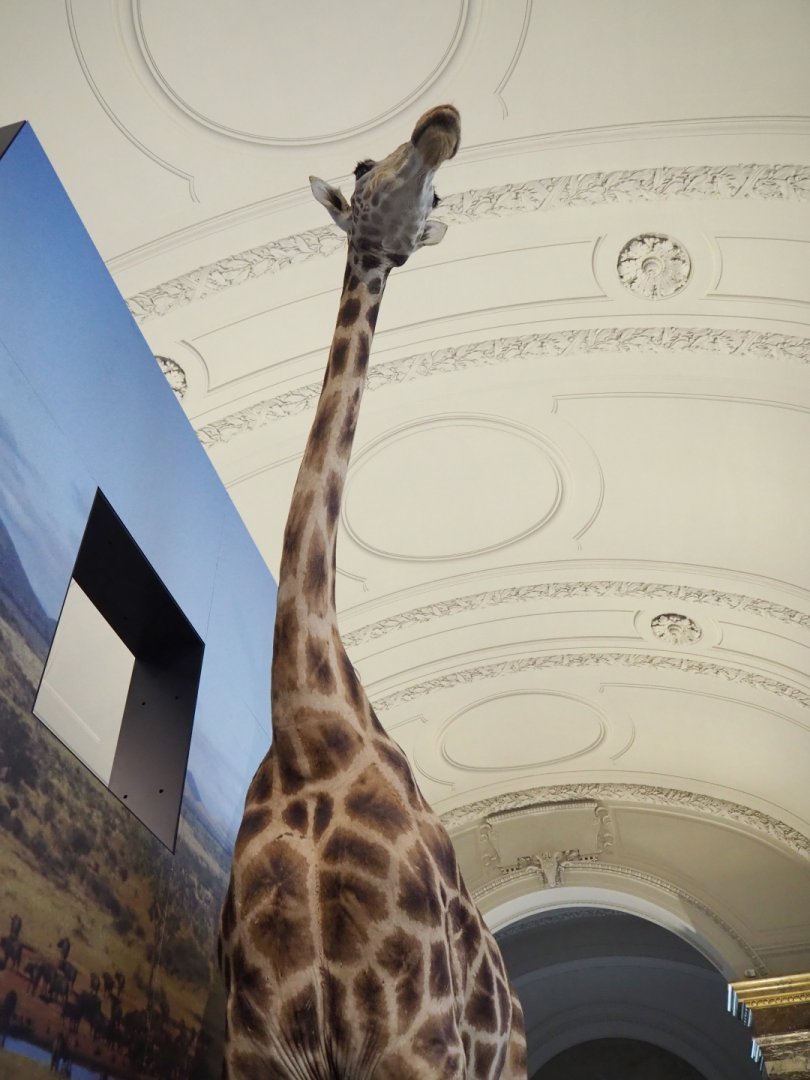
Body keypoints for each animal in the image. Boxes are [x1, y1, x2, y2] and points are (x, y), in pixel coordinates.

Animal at [219, 104, 528, 1080]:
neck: (307, 730)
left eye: (439, 195)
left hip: (498, 1060)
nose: (442, 123)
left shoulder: (413, 1035)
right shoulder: (258, 1039)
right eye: (363, 167)